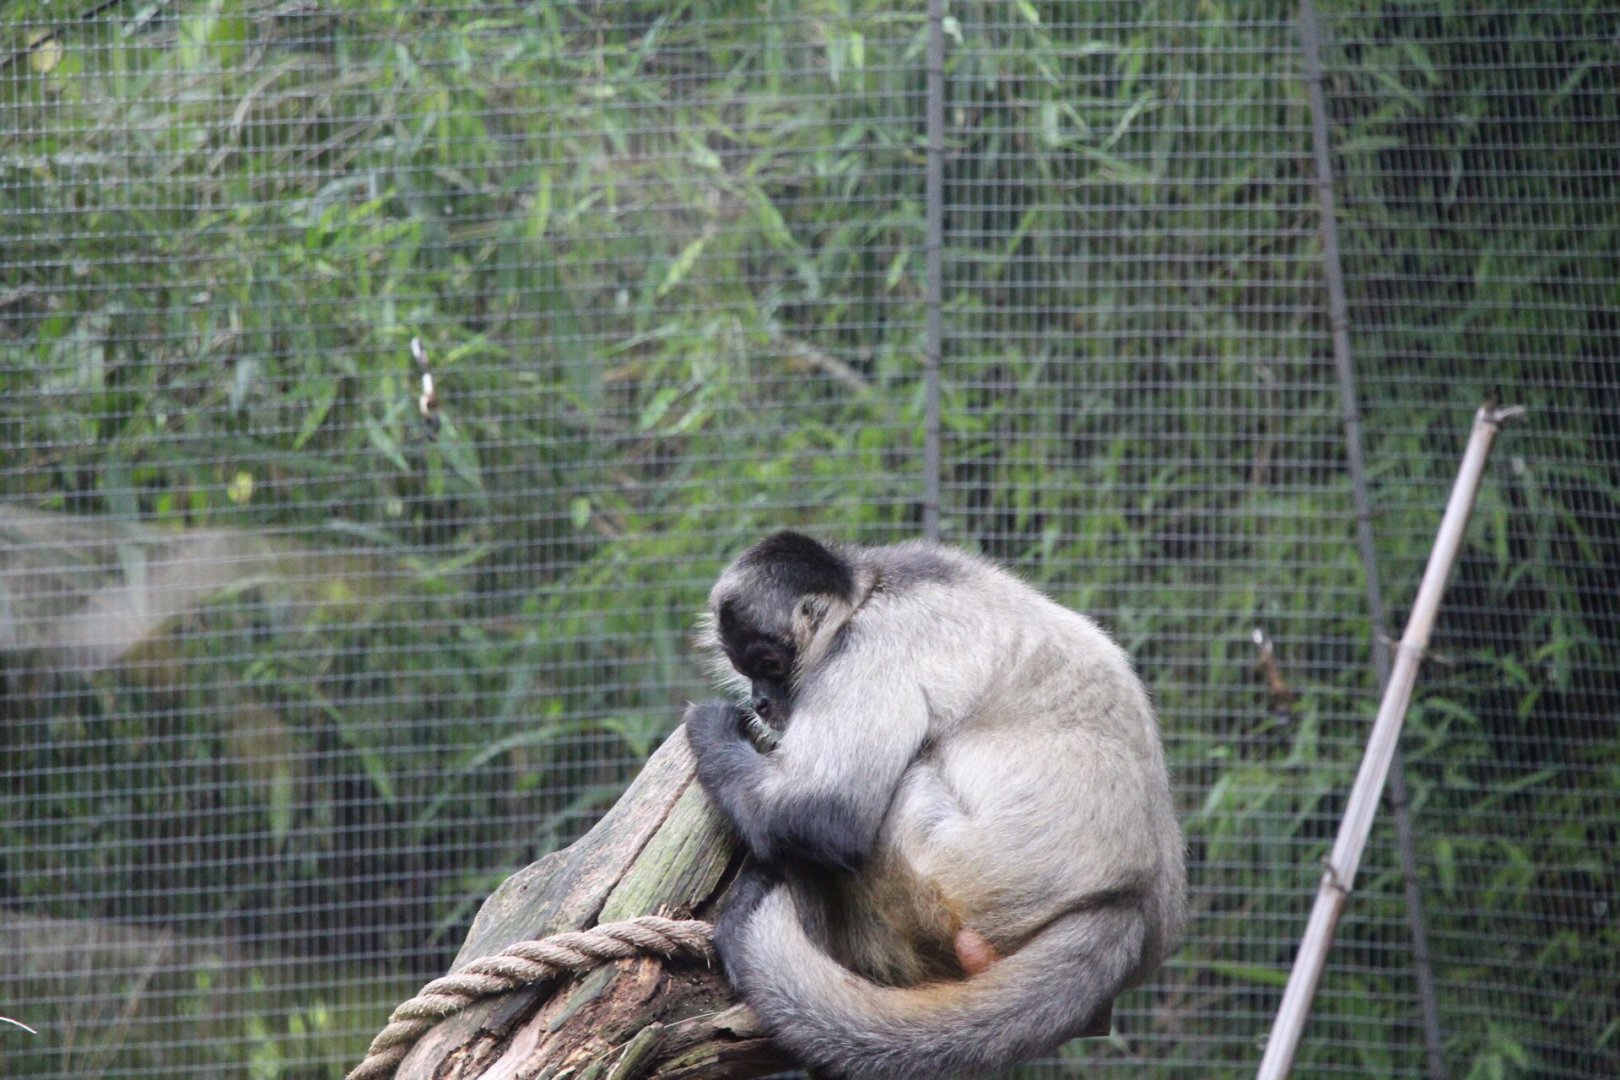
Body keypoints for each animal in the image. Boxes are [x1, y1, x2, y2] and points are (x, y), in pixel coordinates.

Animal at [683, 531, 1186, 1080]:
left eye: (769, 664)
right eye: (745, 670)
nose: (761, 703)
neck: (869, 587)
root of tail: (1134, 900)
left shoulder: (867, 644)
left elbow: (827, 814)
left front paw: (711, 729)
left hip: (948, 868)